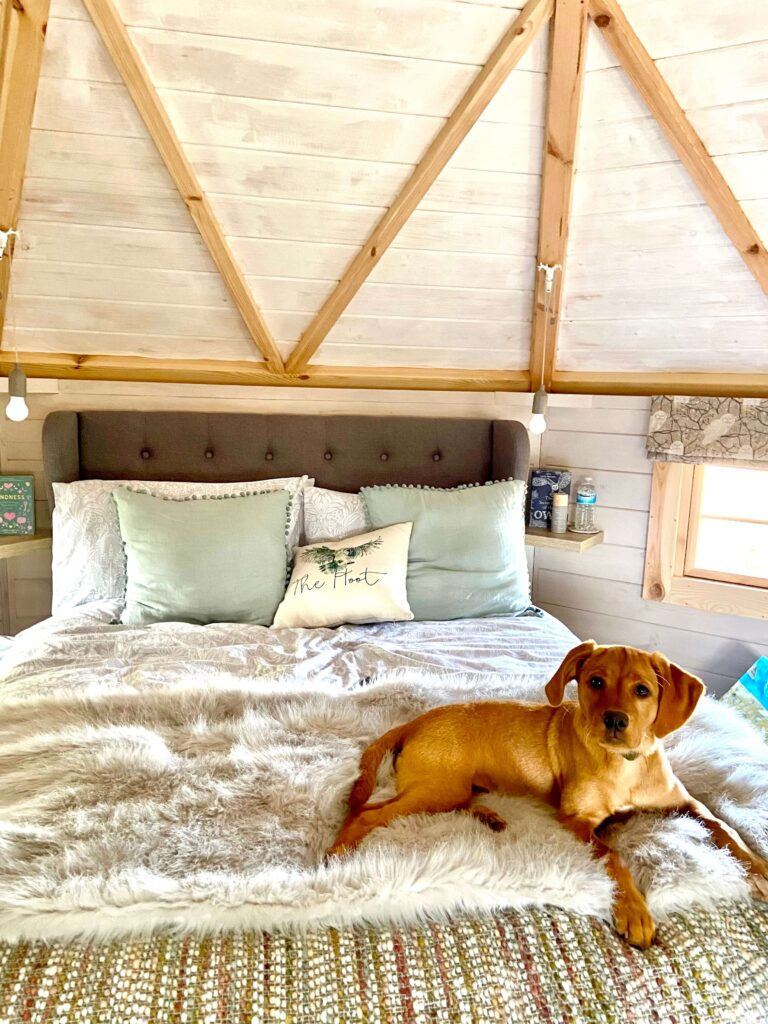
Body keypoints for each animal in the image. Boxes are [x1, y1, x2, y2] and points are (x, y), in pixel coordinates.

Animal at [329, 643, 768, 946]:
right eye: (595, 682)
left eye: (642, 691)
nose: (615, 721)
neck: (624, 765)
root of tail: (414, 722)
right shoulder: (577, 819)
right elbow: (613, 855)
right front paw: (634, 912)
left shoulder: (686, 802)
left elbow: (723, 826)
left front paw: (758, 868)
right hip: (438, 789)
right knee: (366, 813)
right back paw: (339, 851)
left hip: (451, 789)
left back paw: (491, 816)